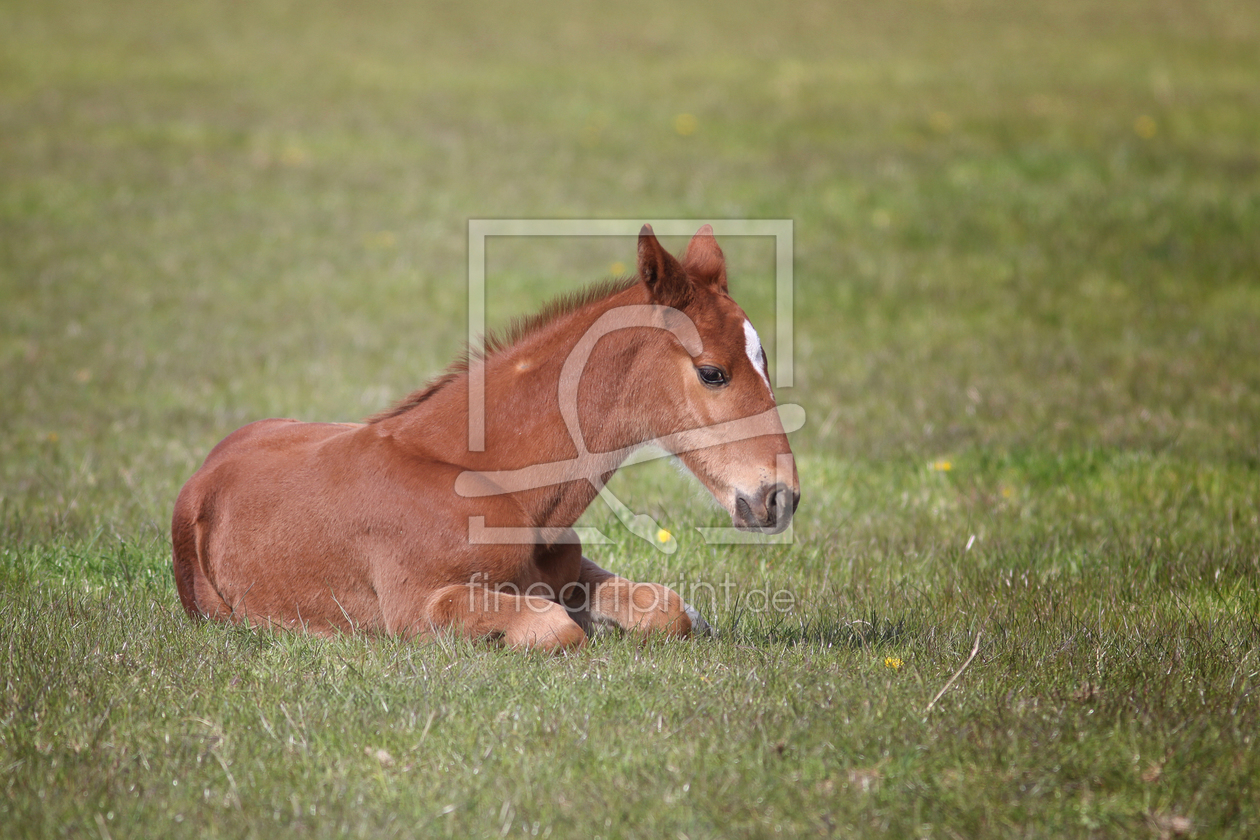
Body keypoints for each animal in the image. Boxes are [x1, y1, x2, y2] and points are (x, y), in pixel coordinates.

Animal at [170, 226, 796, 654]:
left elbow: (668, 610)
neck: (493, 484)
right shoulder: (418, 607)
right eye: (713, 373)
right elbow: (554, 628)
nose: (780, 496)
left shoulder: (570, 568)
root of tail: (205, 471)